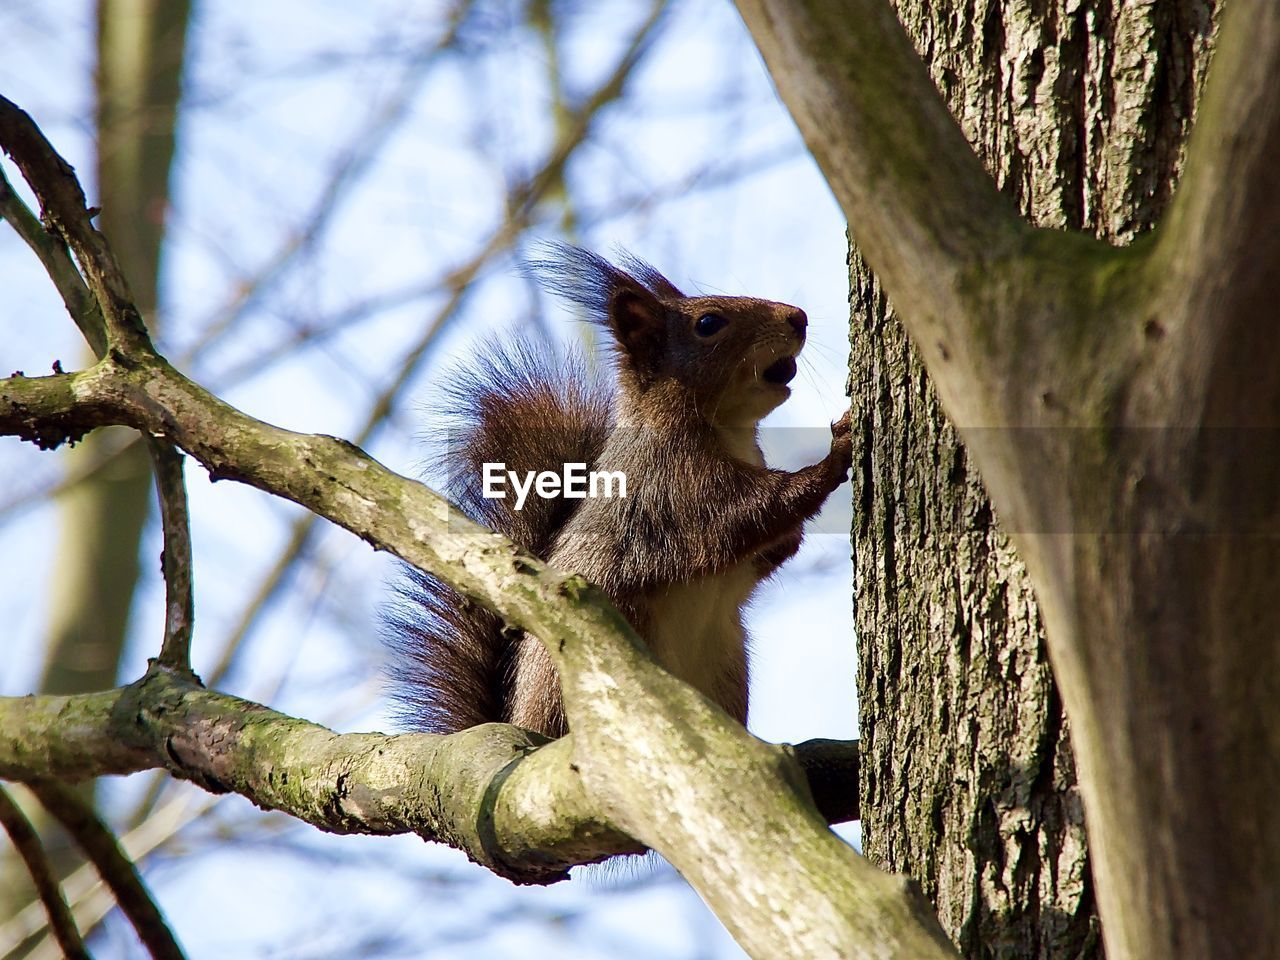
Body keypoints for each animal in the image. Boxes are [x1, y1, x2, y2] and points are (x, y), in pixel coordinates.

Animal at [384, 245, 855, 737]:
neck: (731, 431)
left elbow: (771, 548)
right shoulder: (674, 483)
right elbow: (748, 511)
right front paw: (834, 456)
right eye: (708, 323)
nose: (798, 317)